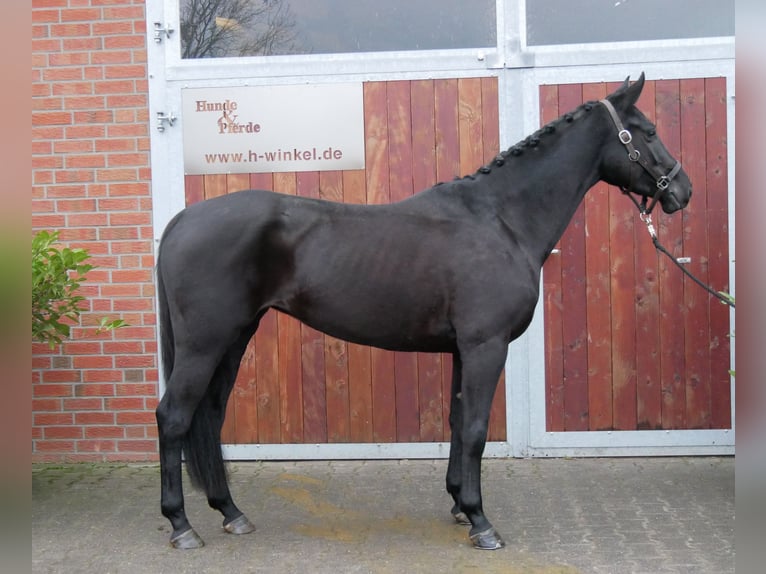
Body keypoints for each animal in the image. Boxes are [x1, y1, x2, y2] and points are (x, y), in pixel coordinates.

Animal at [158, 74, 696, 552]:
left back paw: (231, 512)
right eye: (648, 131)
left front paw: (459, 502)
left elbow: (458, 422)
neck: (501, 220)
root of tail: (181, 220)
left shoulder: (463, 350)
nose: (682, 190)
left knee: (210, 415)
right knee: (174, 416)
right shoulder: (485, 346)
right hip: (205, 343)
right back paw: (181, 526)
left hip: (234, 339)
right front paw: (481, 522)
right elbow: (476, 429)